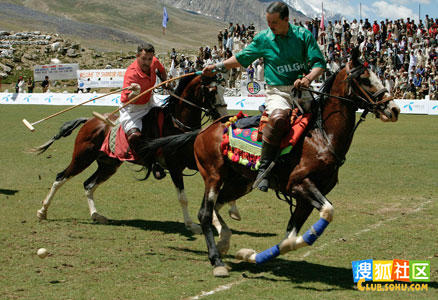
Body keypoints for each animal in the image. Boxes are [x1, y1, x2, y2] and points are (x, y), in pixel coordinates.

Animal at [32, 74, 228, 233]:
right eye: (212, 91)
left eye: (224, 89)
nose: (224, 117)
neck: (177, 124)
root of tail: (89, 120)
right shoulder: (174, 166)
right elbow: (183, 198)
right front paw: (191, 225)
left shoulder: (195, 162)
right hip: (82, 157)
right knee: (61, 177)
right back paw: (42, 211)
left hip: (108, 164)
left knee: (88, 184)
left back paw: (96, 215)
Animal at [192, 49, 400, 276]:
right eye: (364, 79)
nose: (394, 109)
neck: (321, 138)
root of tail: (204, 131)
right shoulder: (299, 185)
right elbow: (328, 212)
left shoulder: (306, 198)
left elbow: (290, 239)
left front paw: (251, 255)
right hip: (214, 175)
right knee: (204, 213)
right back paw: (217, 261)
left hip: (239, 182)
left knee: (217, 205)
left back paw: (224, 241)